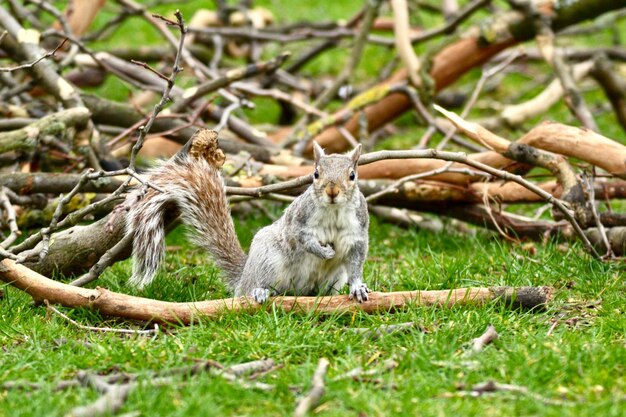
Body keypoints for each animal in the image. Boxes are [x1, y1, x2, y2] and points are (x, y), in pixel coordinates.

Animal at [124, 129, 368, 302]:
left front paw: (358, 287)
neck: (334, 211)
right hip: (268, 258)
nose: (332, 191)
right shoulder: (298, 220)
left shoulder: (358, 234)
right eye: (316, 174)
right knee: (258, 285)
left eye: (352, 175)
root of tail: (244, 276)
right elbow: (302, 238)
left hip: (335, 276)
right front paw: (323, 251)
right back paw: (260, 291)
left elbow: (356, 263)